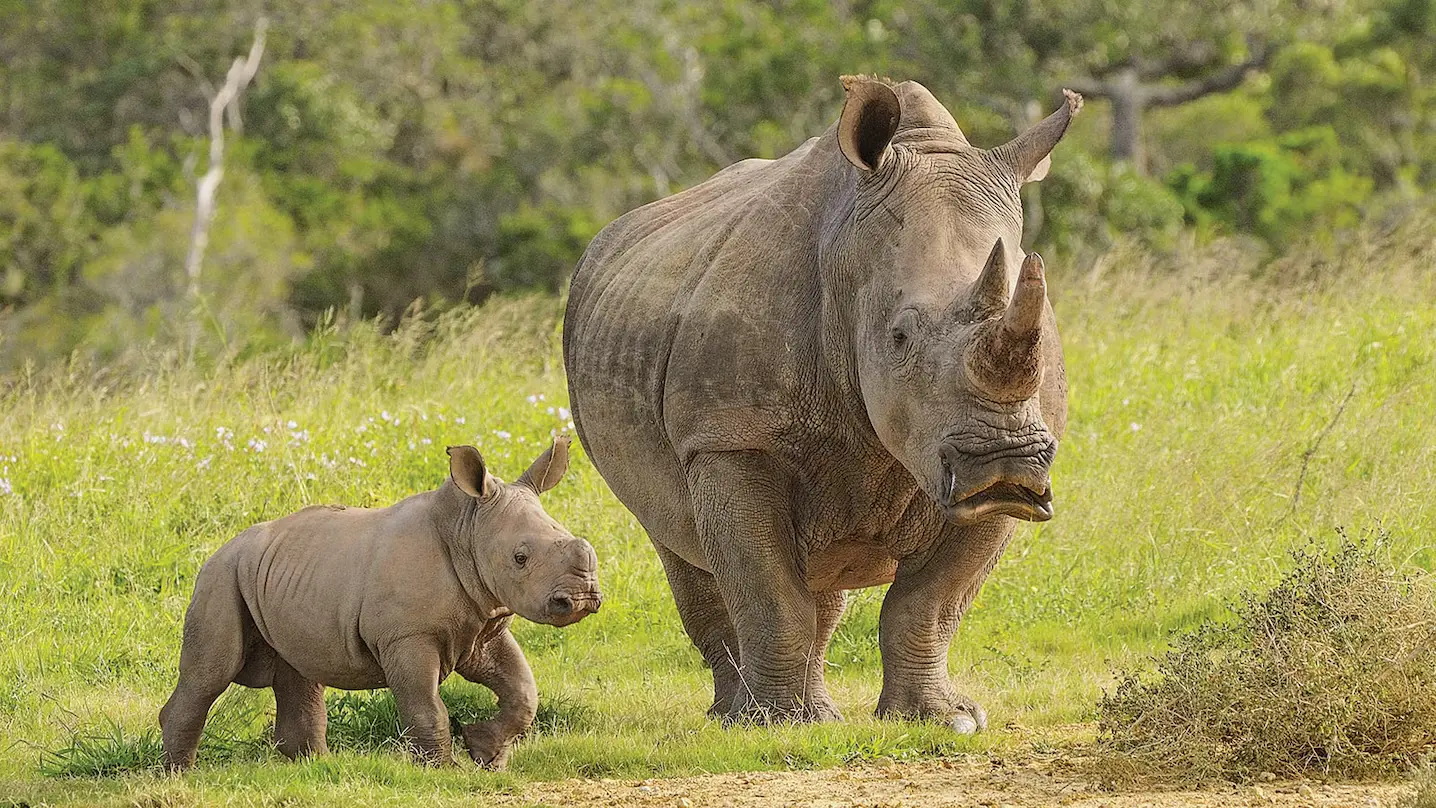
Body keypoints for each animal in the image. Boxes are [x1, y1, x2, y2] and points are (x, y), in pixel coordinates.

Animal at [159, 437, 600, 770]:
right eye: (520, 558)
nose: (582, 599)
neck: (467, 529)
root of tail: (220, 548)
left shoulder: (482, 624)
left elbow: (523, 691)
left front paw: (485, 754)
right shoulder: (407, 637)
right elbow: (425, 705)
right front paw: (443, 770)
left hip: (281, 574)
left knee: (299, 670)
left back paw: (311, 767)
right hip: (221, 577)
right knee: (210, 674)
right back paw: (179, 774)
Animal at [563, 77, 1079, 731]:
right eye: (899, 337)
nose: (1004, 462)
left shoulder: (1008, 467)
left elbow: (931, 603)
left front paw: (943, 720)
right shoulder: (729, 439)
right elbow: (768, 593)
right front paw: (773, 725)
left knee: (823, 578)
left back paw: (813, 714)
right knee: (680, 545)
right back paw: (740, 718)